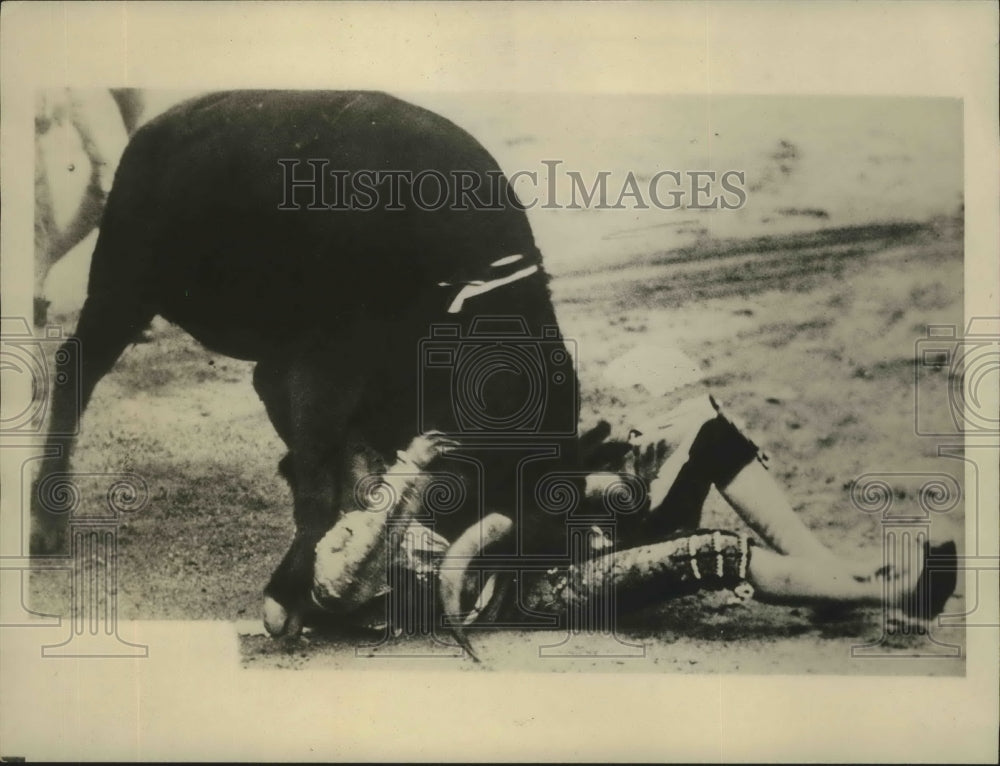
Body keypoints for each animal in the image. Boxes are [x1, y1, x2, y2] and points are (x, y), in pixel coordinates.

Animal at [30, 90, 583, 637]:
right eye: (488, 470)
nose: (541, 569)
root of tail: (159, 125)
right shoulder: (327, 364)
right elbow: (319, 481)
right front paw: (288, 600)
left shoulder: (296, 374)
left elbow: (333, 470)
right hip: (122, 285)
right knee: (75, 368)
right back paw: (46, 524)